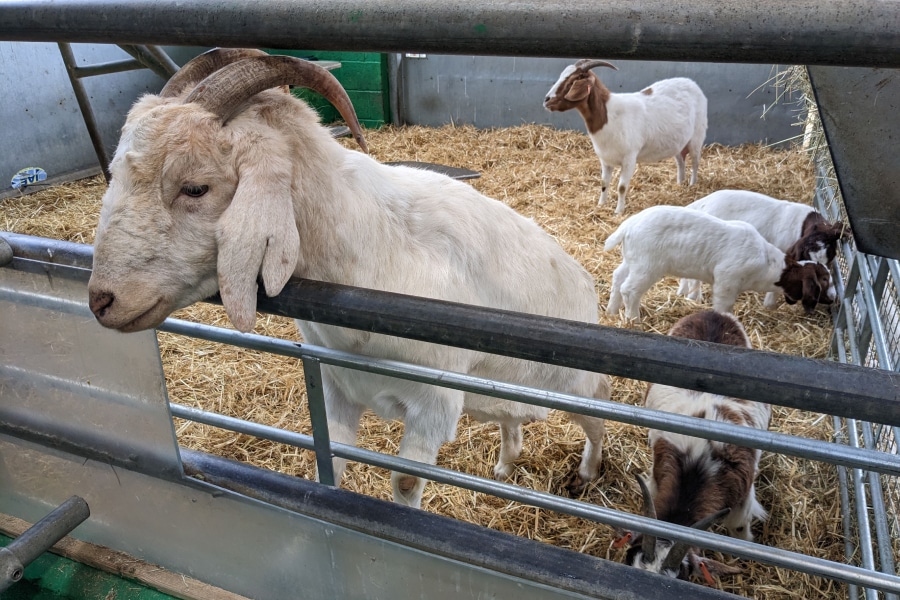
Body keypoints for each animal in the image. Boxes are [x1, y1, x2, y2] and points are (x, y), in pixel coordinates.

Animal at [86, 48, 611, 508]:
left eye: (195, 187)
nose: (102, 301)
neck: (369, 245)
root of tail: (585, 283)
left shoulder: (434, 404)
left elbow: (404, 484)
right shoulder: (338, 386)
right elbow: (331, 463)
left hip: (579, 386)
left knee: (599, 412)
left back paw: (587, 474)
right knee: (513, 419)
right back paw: (504, 465)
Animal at [543, 60, 707, 215]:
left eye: (573, 81)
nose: (547, 100)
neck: (608, 115)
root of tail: (692, 84)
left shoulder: (629, 158)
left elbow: (621, 187)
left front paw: (618, 211)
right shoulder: (605, 159)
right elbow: (604, 183)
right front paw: (600, 205)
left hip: (697, 136)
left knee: (695, 162)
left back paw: (692, 185)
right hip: (679, 142)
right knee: (680, 161)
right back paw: (680, 184)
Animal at [604, 206, 835, 323]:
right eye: (824, 280)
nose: (833, 298)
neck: (768, 267)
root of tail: (628, 226)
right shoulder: (727, 280)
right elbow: (724, 306)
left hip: (632, 259)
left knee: (617, 277)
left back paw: (612, 311)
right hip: (647, 265)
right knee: (630, 289)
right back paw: (633, 319)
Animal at [621, 310, 770, 583]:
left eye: (682, 576)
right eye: (629, 562)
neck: (698, 466)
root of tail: (712, 313)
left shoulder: (742, 498)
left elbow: (739, 529)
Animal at [677, 189, 846, 306]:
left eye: (830, 258)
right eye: (806, 256)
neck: (804, 224)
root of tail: (701, 204)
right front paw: (769, 305)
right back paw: (694, 298)